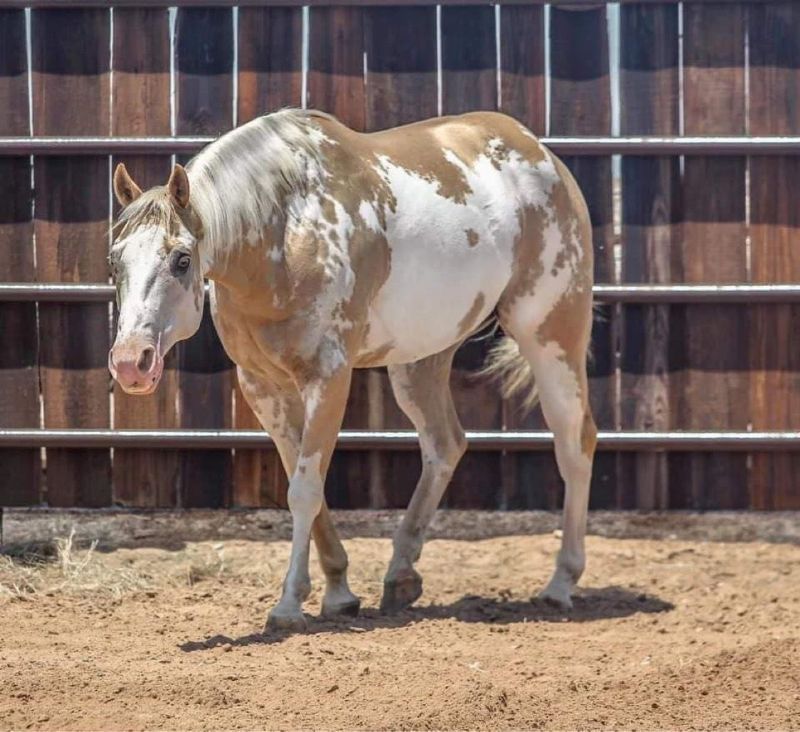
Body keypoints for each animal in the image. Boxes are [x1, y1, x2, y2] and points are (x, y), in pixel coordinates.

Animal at [109, 108, 597, 631]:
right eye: (114, 260)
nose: (131, 362)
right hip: (420, 361)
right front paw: (339, 592)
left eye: (182, 259)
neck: (284, 231)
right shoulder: (263, 387)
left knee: (574, 443)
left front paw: (289, 605)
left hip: (551, 335)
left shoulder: (329, 378)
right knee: (445, 445)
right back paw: (401, 575)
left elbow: (304, 489)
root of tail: (538, 152)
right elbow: (309, 486)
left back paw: (561, 583)